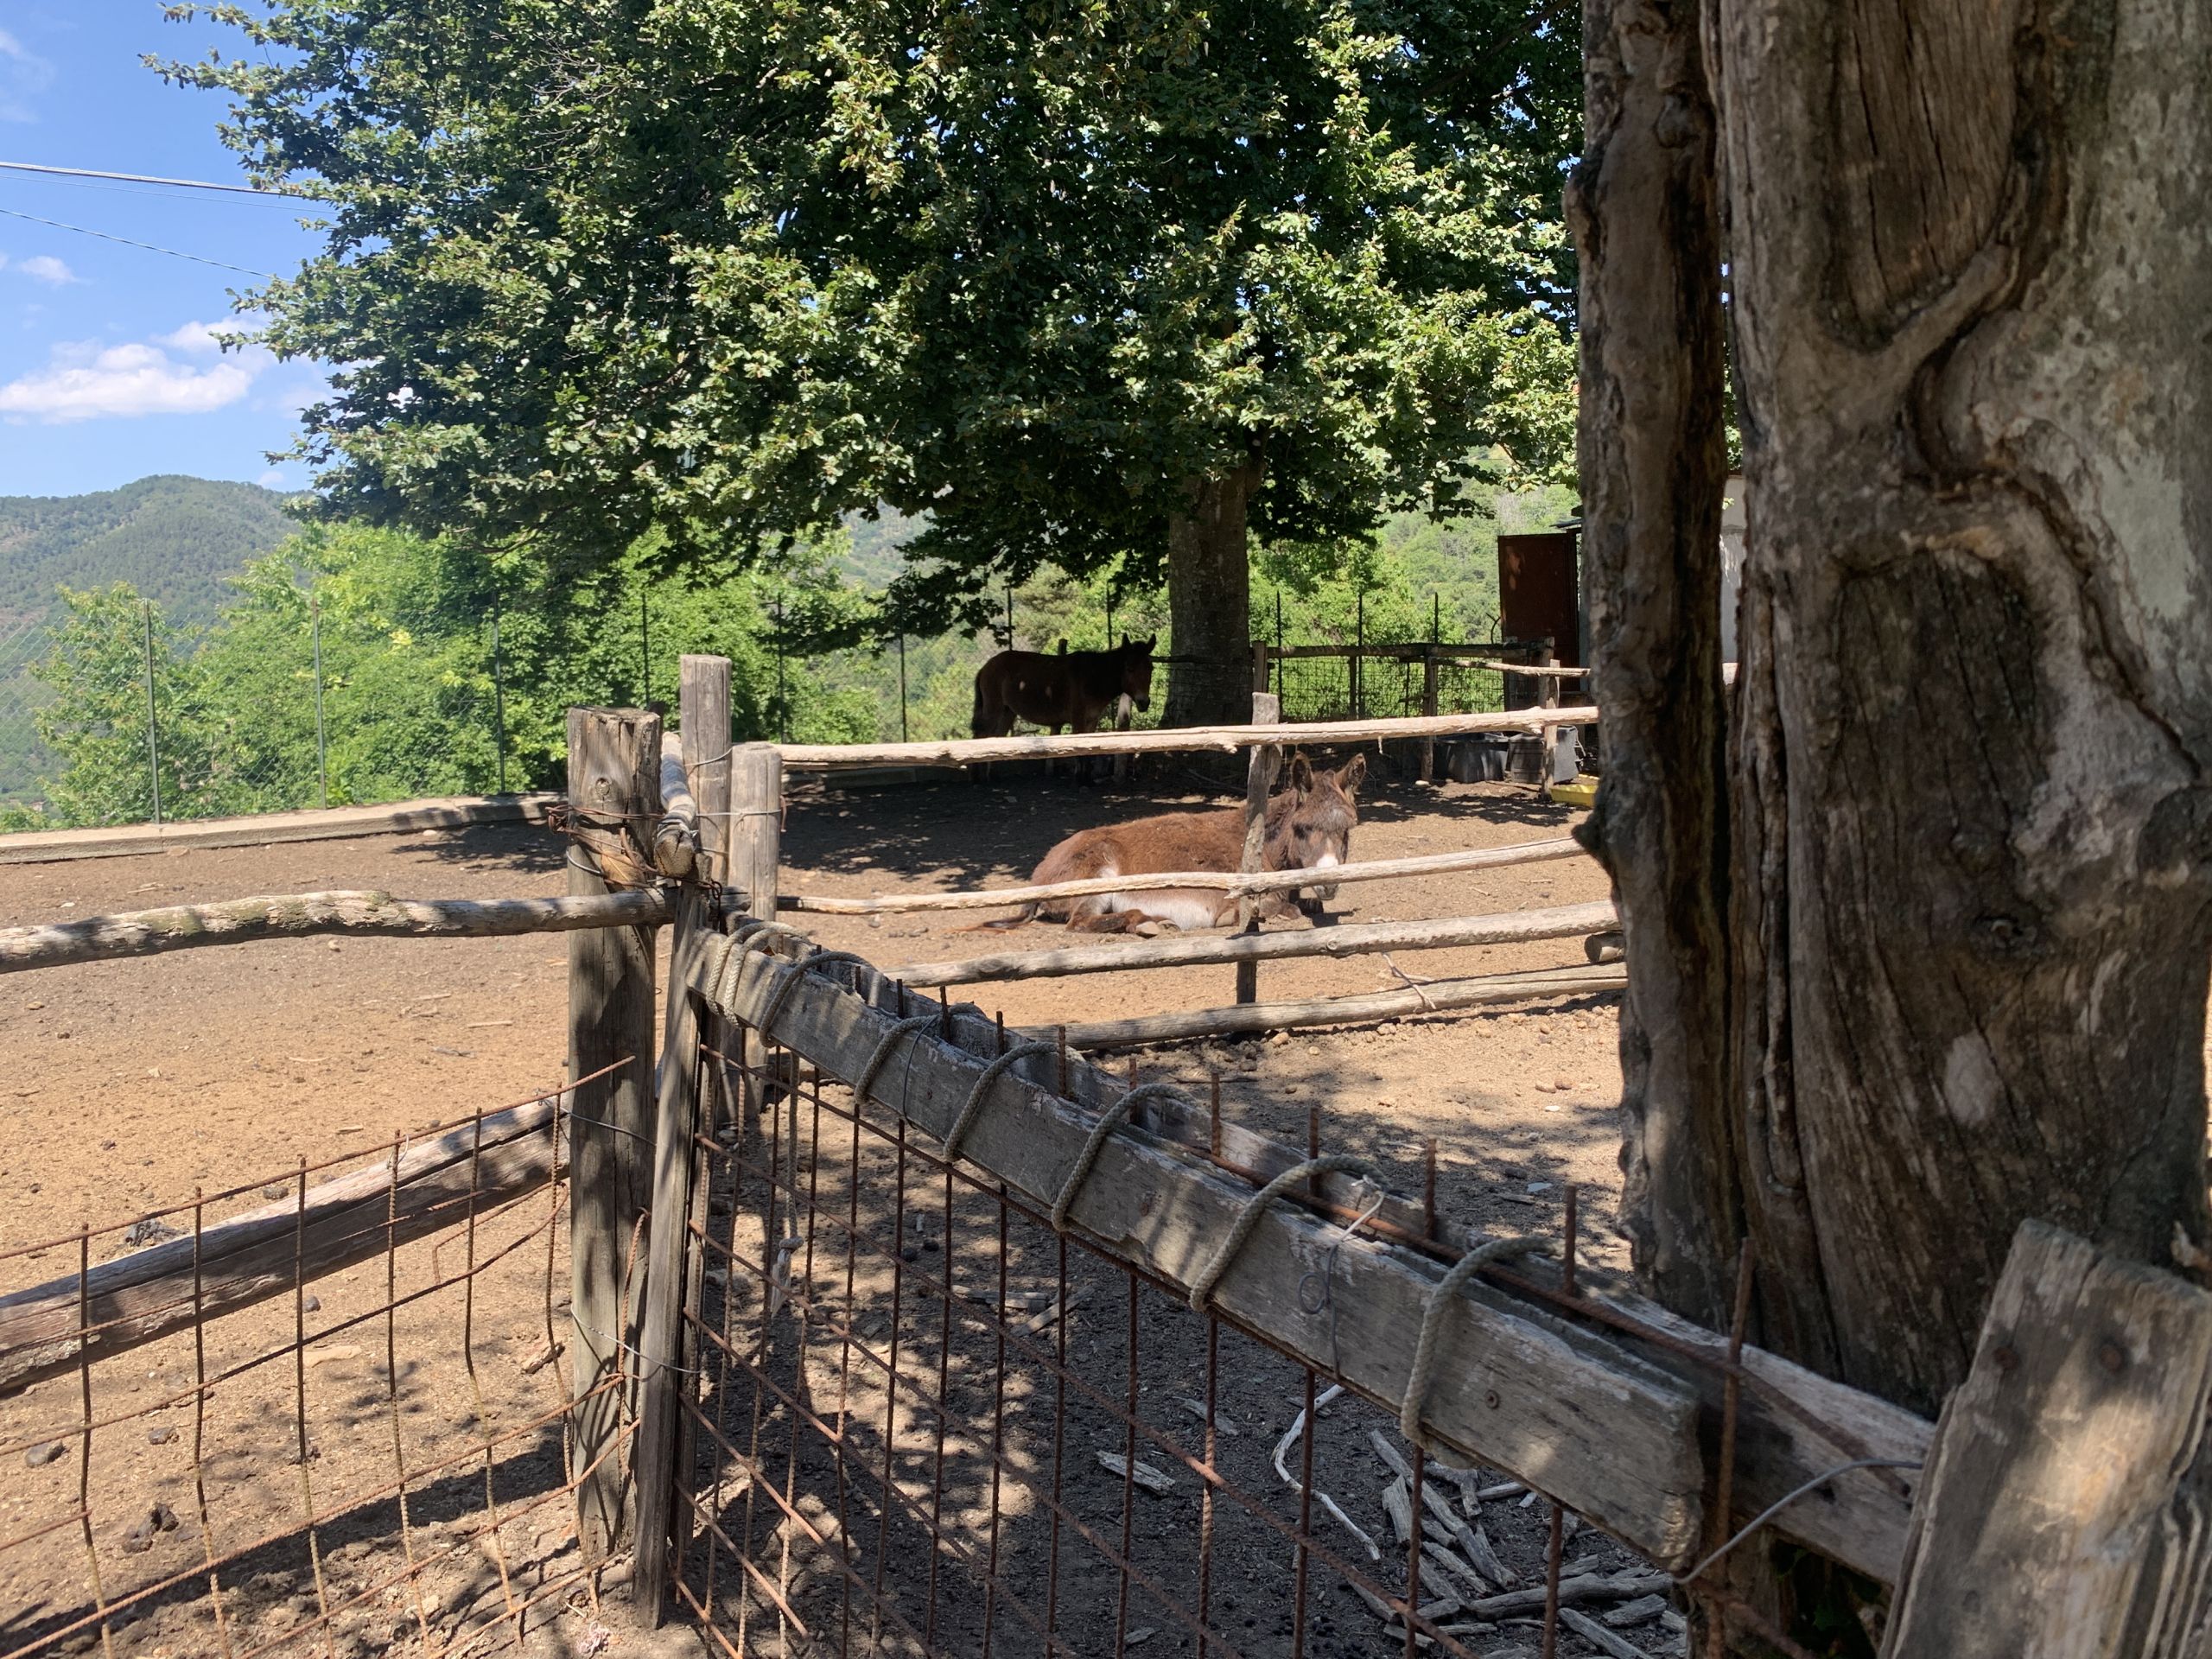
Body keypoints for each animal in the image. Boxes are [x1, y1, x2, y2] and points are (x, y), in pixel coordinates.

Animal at [970, 636, 1157, 738]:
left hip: (1008, 712)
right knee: (982, 736)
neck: (1092, 676)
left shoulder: (1091, 721)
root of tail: (986, 667)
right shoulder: (1078, 721)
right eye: (1129, 668)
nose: (1144, 702)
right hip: (993, 710)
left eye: (1151, 668)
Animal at [978, 753, 1364, 933]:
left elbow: (1310, 905)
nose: (1330, 884)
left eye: (1347, 829)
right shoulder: (1241, 901)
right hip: (1099, 875)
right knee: (1080, 922)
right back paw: (1146, 922)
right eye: (1303, 828)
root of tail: (1039, 875)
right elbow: (1286, 909)